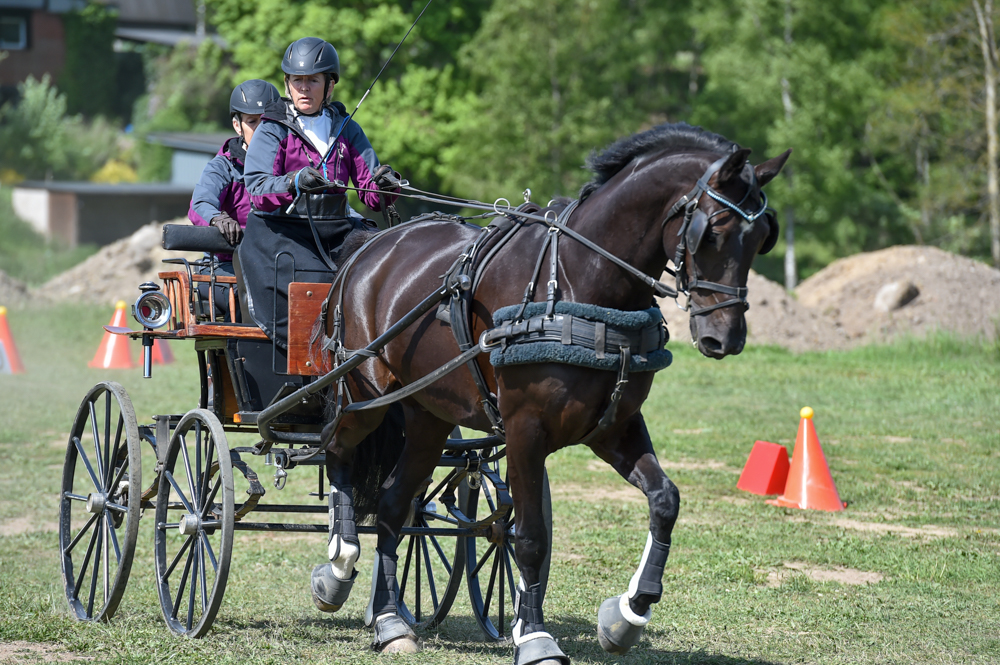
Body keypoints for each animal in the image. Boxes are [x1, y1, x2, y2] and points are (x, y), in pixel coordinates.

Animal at [313, 122, 790, 663]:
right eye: (712, 230)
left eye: (762, 236)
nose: (724, 338)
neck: (582, 281)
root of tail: (372, 245)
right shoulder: (525, 430)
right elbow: (530, 538)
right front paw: (536, 637)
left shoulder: (614, 426)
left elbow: (664, 500)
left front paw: (626, 615)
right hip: (364, 395)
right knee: (338, 452)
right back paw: (338, 567)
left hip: (428, 415)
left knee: (395, 506)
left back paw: (391, 620)